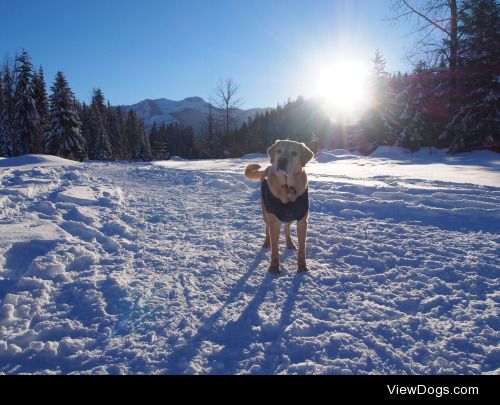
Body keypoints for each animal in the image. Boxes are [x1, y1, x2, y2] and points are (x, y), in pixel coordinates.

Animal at [245, 139, 312, 274]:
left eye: (294, 153)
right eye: (278, 151)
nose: (282, 161)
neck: (287, 188)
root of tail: (266, 168)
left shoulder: (302, 220)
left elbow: (302, 248)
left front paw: (302, 266)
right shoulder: (274, 220)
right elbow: (275, 249)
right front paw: (274, 267)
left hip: (289, 215)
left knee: (286, 227)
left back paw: (289, 243)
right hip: (266, 211)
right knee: (267, 228)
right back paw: (267, 242)